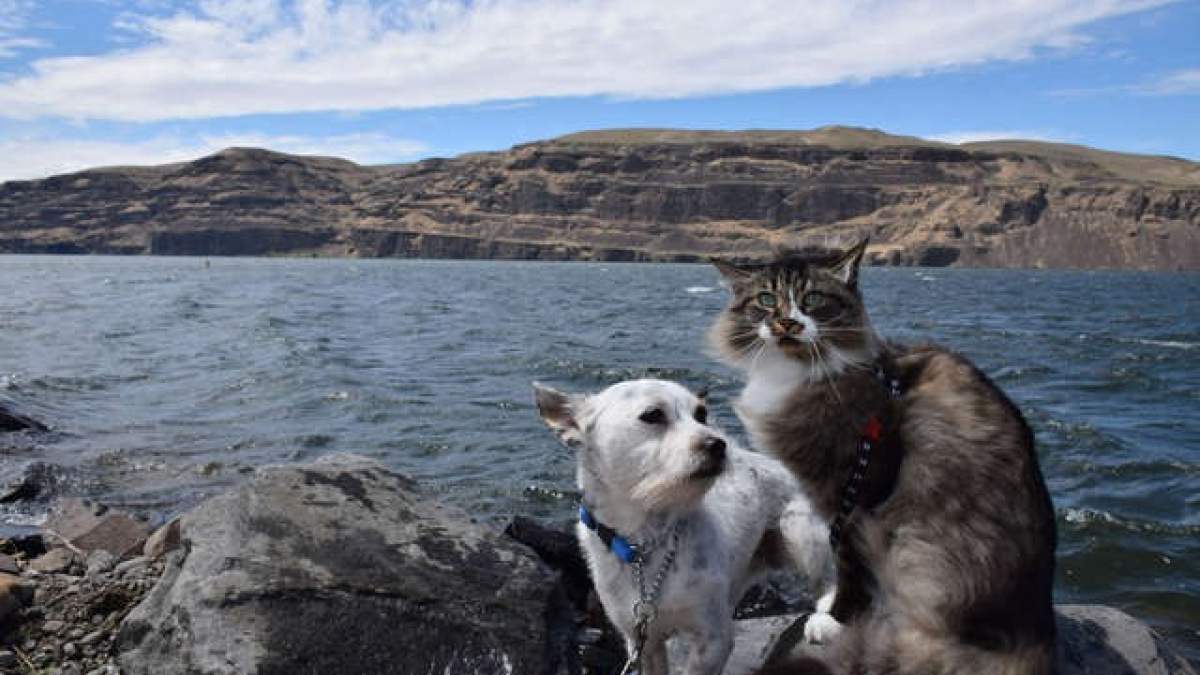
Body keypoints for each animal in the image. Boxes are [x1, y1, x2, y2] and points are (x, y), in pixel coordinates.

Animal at [537, 379, 835, 672]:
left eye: (701, 414)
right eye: (652, 415)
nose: (718, 444)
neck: (646, 541)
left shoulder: (713, 640)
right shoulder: (642, 641)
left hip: (801, 532)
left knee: (829, 577)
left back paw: (823, 620)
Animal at [705, 239, 1056, 672]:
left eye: (813, 299)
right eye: (766, 300)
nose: (786, 323)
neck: (804, 373)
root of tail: (1038, 635)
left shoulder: (857, 490)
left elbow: (847, 563)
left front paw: (836, 618)